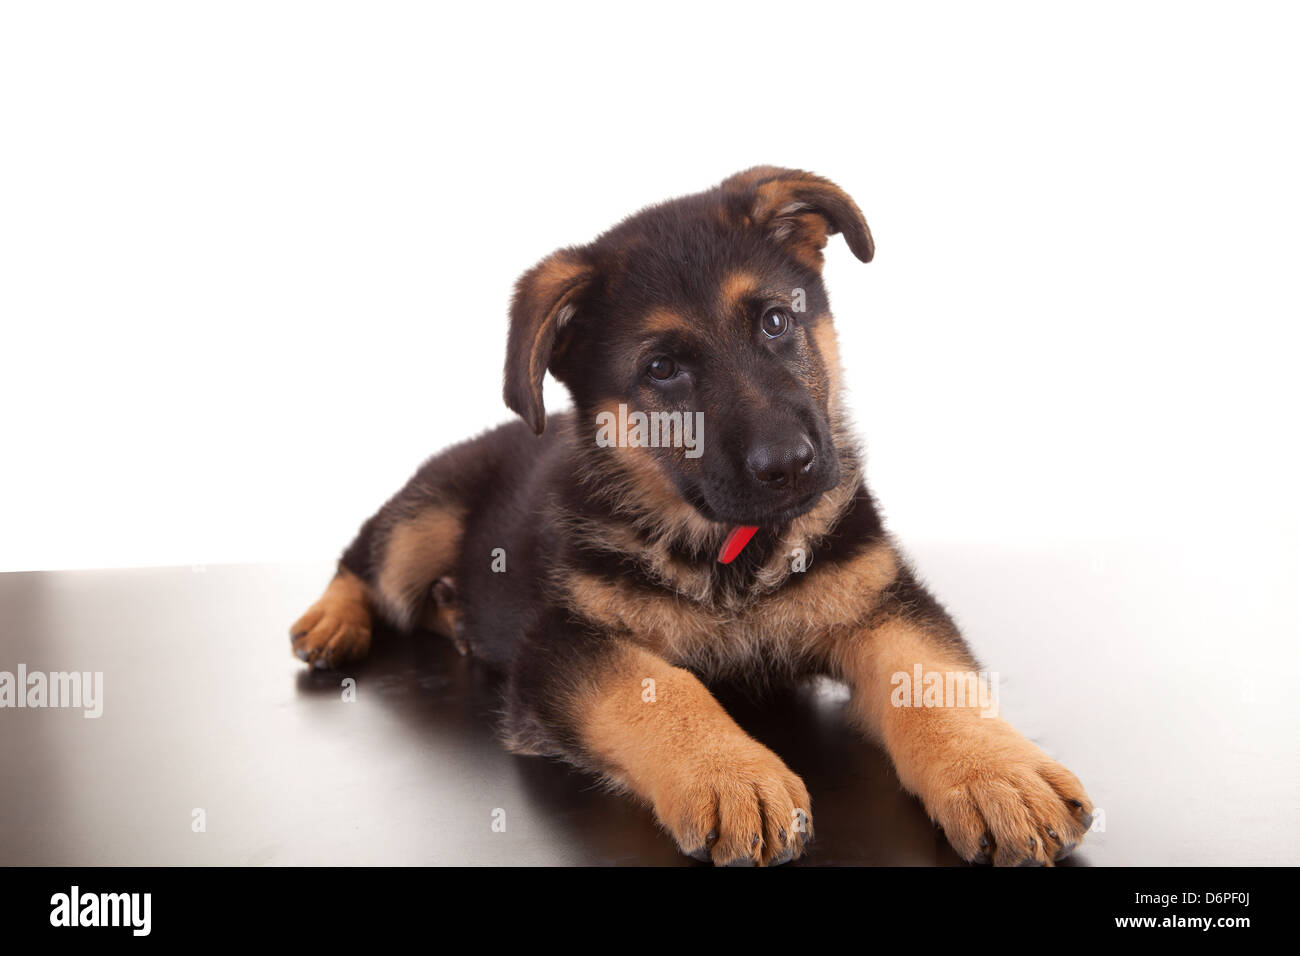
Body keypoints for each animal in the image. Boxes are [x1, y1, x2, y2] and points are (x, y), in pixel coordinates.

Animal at [289, 167, 1092, 868]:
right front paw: (729, 775)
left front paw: (996, 773)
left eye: (776, 321)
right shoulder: (565, 645)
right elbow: (661, 688)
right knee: (363, 560)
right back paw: (332, 621)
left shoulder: (880, 600)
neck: (732, 550)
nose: (792, 464)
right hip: (421, 524)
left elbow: (928, 677)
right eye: (662, 370)